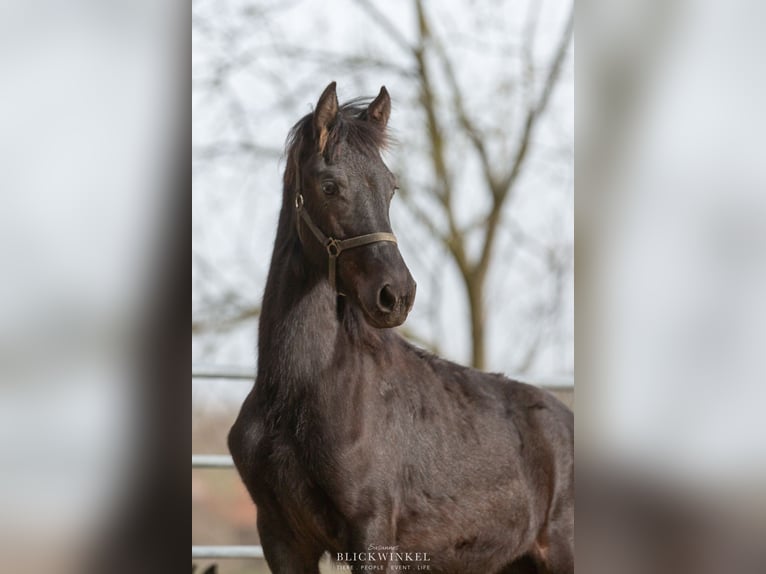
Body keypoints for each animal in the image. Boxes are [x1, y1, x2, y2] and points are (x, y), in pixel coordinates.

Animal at [228, 82, 574, 574]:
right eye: (329, 185)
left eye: (390, 187)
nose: (396, 294)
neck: (299, 393)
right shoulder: (279, 537)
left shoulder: (373, 535)